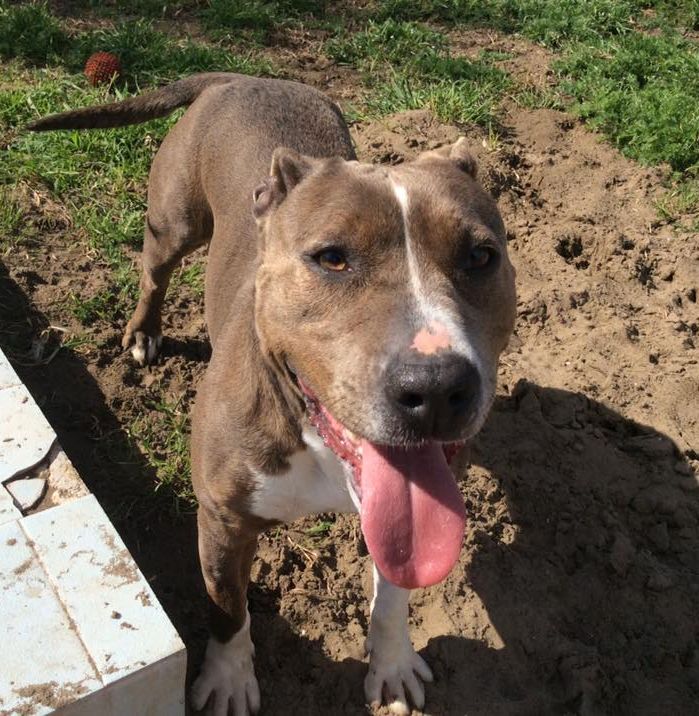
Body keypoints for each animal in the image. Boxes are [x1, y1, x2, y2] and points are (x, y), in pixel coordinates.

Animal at [29, 73, 516, 715]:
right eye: (332, 258)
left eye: (481, 256)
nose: (435, 388)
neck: (313, 437)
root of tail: (242, 76)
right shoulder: (222, 520)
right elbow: (227, 608)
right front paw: (230, 679)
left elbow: (392, 593)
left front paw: (392, 664)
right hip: (174, 223)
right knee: (153, 272)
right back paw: (143, 333)